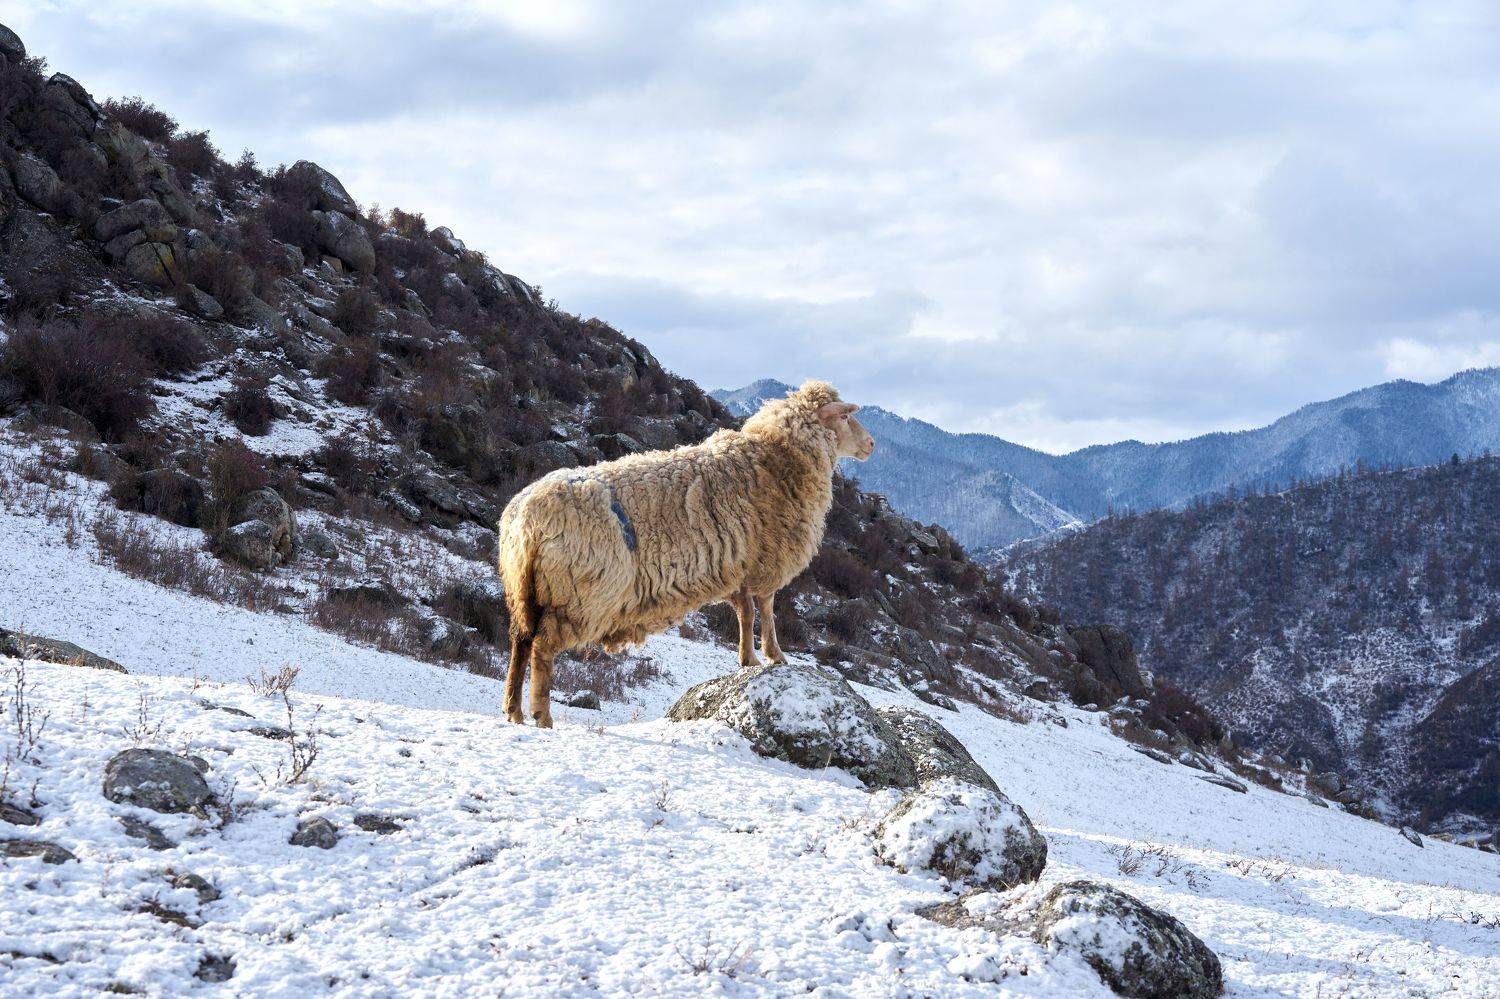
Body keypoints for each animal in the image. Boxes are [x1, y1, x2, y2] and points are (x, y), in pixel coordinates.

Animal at [497, 379, 875, 727]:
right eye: (844, 416)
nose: (871, 444)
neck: (776, 459)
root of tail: (526, 519)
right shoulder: (767, 561)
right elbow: (765, 611)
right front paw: (775, 656)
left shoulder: (739, 566)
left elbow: (745, 613)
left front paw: (747, 660)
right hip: (577, 595)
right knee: (542, 648)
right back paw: (542, 716)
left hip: (524, 592)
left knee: (520, 642)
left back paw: (513, 710)